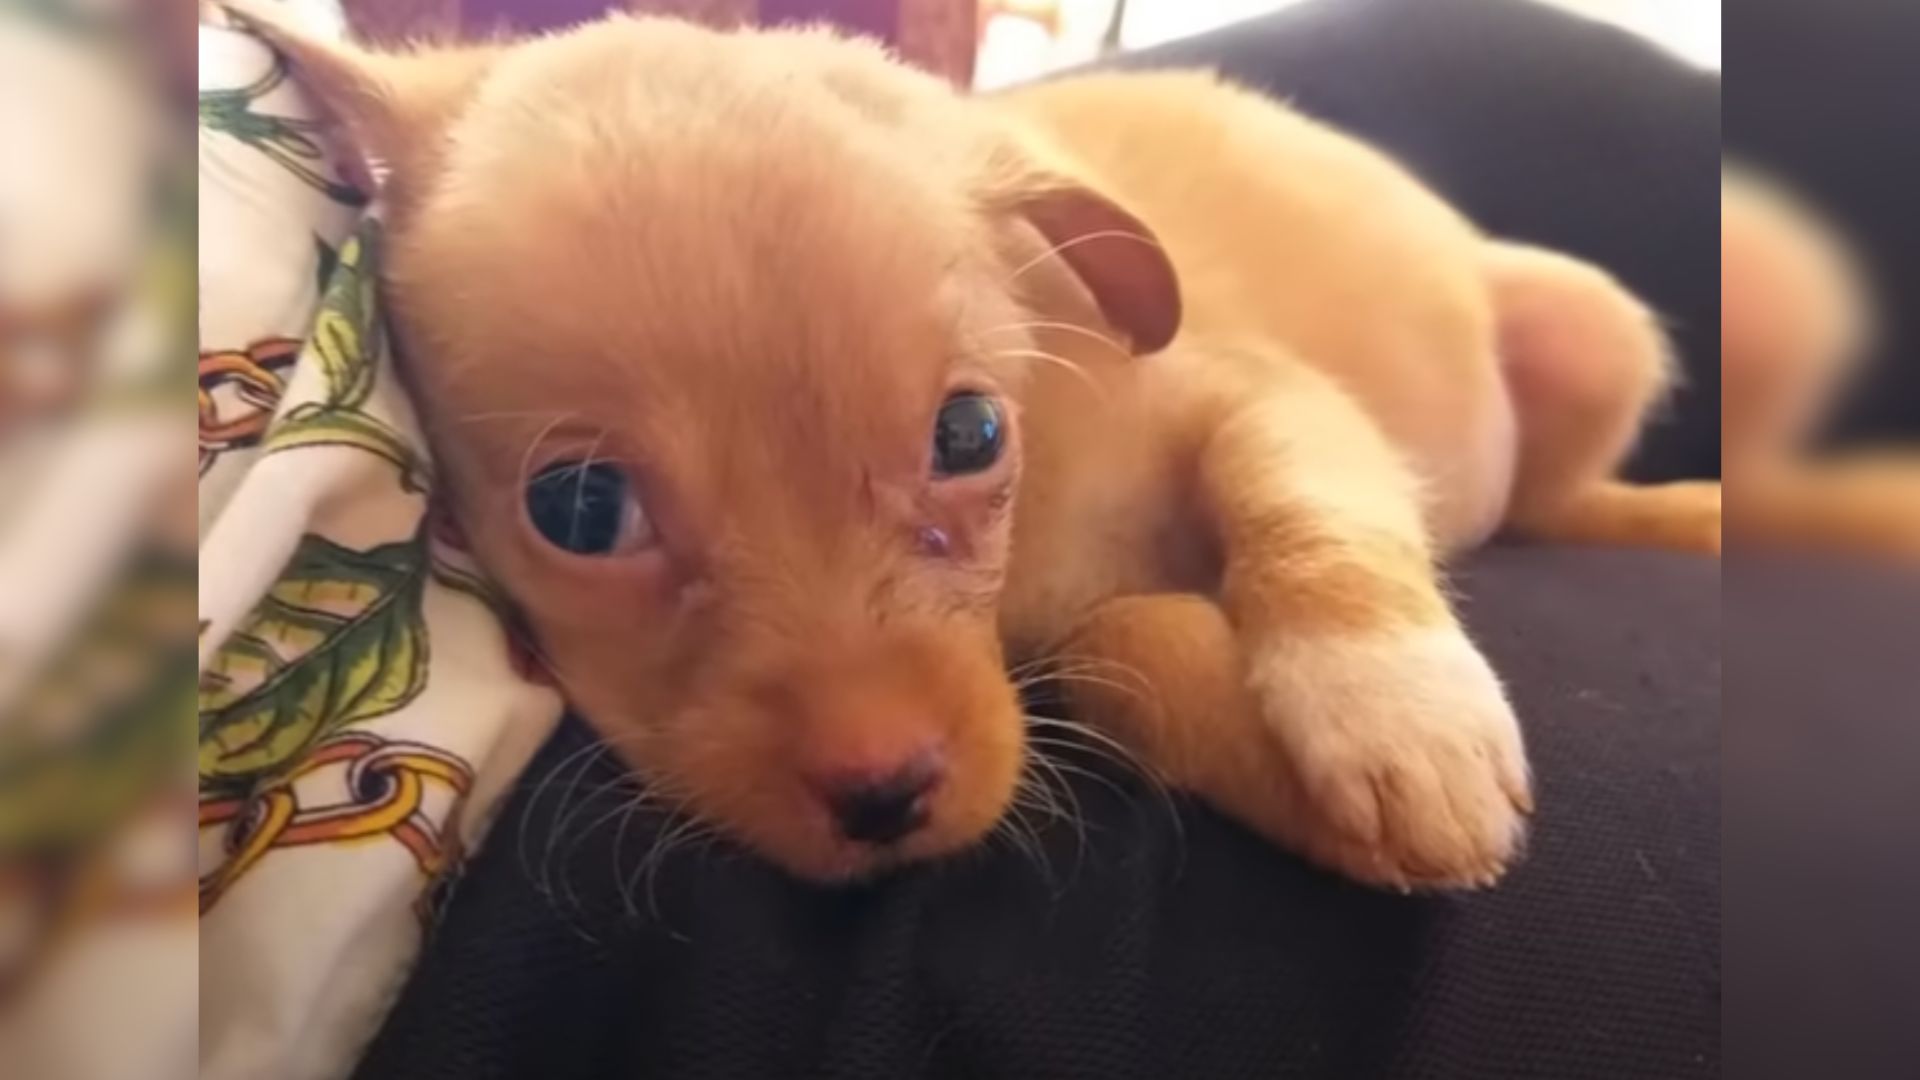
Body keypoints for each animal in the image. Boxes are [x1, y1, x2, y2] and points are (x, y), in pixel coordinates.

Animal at [232, 8, 1720, 887]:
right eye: (583, 512)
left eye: (969, 433)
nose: (887, 797)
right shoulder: (1094, 629)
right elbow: (1125, 650)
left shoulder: (1257, 393)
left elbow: (1308, 511)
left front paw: (1399, 713)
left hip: (1591, 333)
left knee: (1561, 495)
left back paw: (1689, 514)